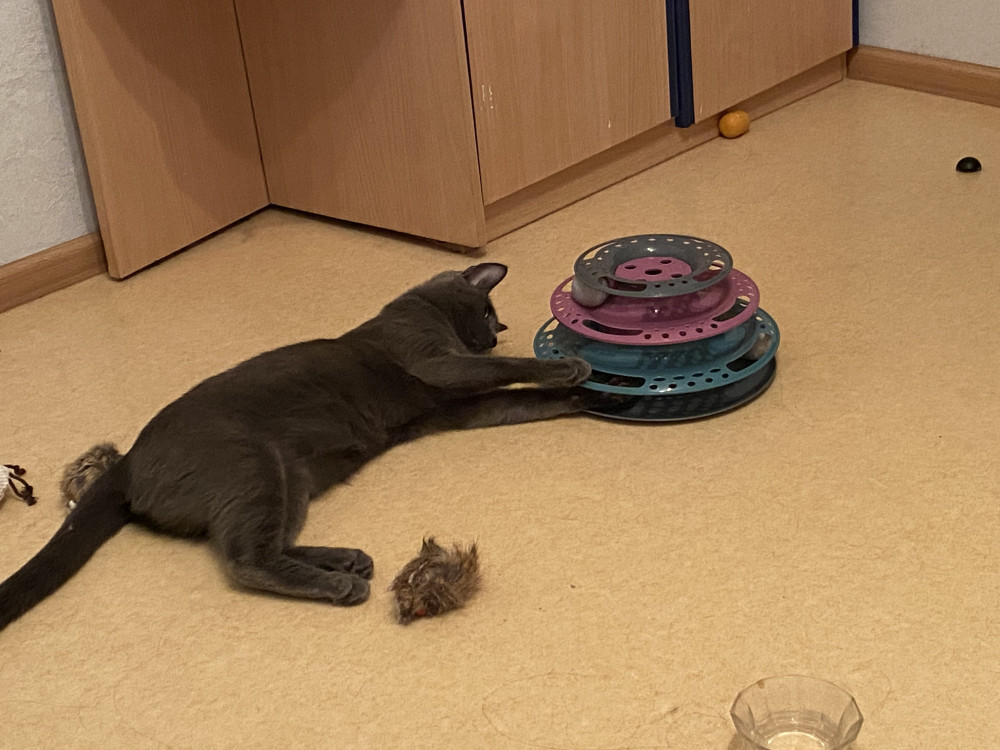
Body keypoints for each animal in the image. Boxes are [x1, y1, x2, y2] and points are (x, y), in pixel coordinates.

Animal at [0, 263, 602, 632]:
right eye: (487, 314)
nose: (493, 333)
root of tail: (125, 463)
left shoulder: (456, 408)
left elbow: (522, 400)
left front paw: (588, 397)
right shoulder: (436, 362)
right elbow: (512, 371)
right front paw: (572, 367)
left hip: (292, 479)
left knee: (266, 544)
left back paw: (348, 560)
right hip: (254, 466)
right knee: (245, 560)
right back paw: (343, 584)